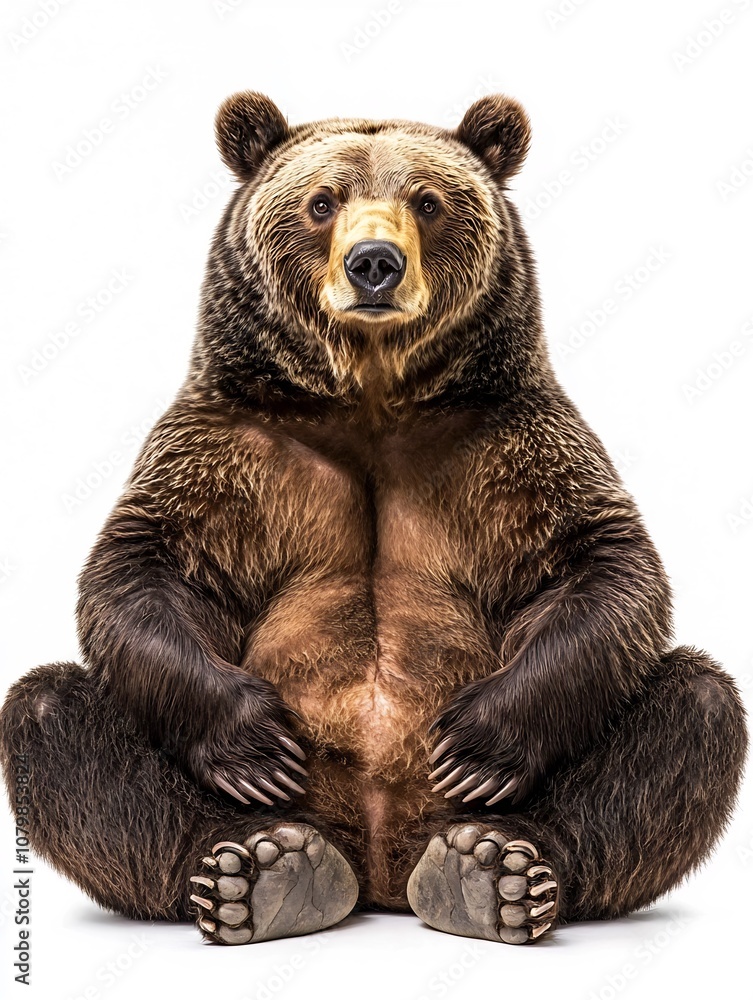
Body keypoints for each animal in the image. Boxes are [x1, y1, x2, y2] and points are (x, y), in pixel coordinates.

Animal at [0, 91, 748, 948]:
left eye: (427, 201)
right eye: (321, 202)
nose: (373, 264)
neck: (369, 392)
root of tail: (381, 871)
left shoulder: (509, 445)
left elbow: (602, 568)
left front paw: (475, 743)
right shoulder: (230, 449)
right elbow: (143, 572)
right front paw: (255, 744)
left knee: (693, 710)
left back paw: (494, 869)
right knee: (49, 718)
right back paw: (254, 868)